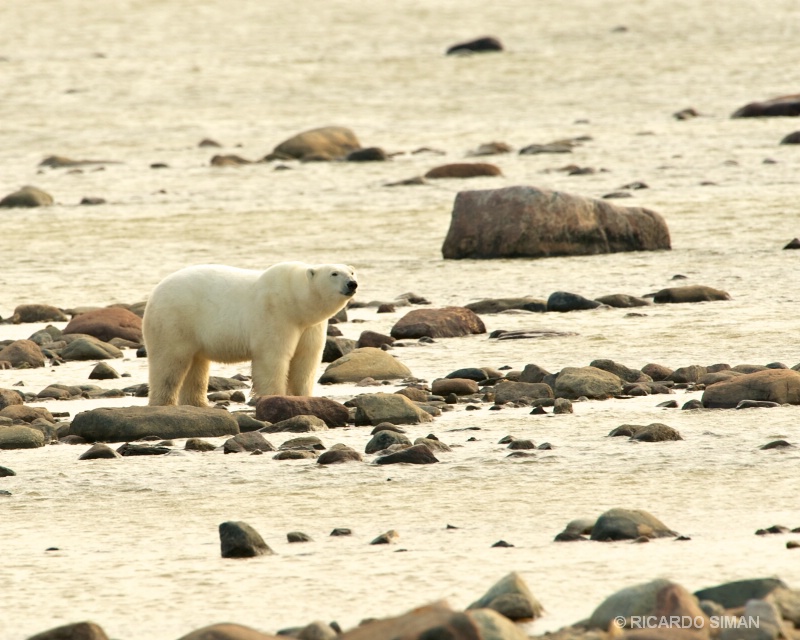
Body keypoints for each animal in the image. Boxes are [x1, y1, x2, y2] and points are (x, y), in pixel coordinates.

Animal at [142, 262, 358, 406]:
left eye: (352, 271)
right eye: (334, 273)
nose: (352, 283)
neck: (294, 301)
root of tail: (154, 294)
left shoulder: (310, 326)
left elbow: (306, 359)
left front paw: (303, 396)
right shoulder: (275, 314)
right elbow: (273, 358)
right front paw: (274, 396)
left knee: (196, 365)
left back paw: (197, 403)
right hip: (174, 321)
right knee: (169, 364)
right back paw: (163, 402)